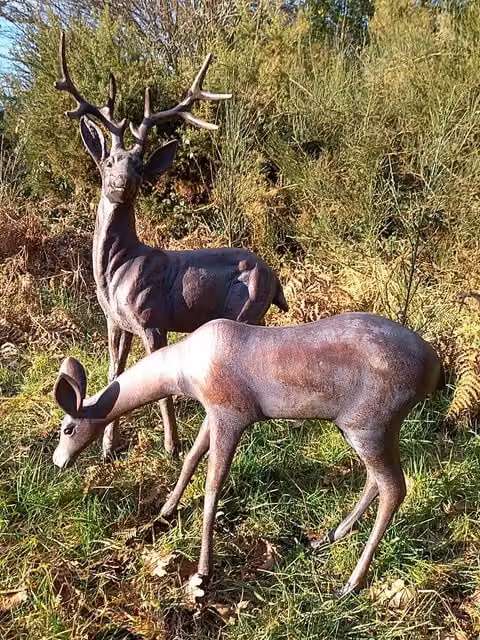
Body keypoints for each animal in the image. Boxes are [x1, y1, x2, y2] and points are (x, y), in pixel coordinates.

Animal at [52, 312, 444, 596]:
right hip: (363, 428)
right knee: (374, 482)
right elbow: (191, 458)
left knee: (394, 487)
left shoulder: (232, 414)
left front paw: (203, 571)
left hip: (370, 425)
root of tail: (434, 367)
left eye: (67, 428)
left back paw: (352, 582)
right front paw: (165, 511)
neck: (185, 372)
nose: (58, 460)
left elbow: (213, 487)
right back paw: (327, 537)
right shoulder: (213, 412)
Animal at [54, 32, 288, 460]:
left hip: (247, 307)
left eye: (139, 164)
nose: (121, 184)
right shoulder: (115, 321)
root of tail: (275, 277)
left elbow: (159, 385)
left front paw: (172, 446)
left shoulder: (152, 317)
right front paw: (108, 448)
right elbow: (115, 374)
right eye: (109, 161)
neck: (117, 270)